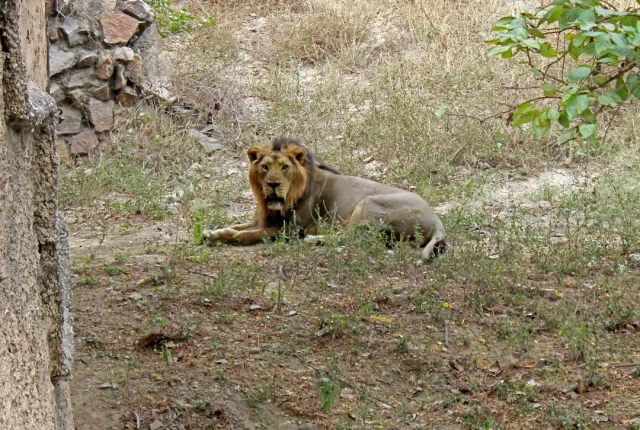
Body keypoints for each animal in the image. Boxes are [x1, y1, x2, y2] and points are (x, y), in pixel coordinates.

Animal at [203, 137, 446, 262]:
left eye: (284, 167)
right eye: (265, 167)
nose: (273, 184)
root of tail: (437, 219)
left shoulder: (290, 229)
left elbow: (251, 234)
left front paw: (227, 238)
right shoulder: (262, 219)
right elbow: (237, 226)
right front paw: (213, 233)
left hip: (368, 204)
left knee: (352, 237)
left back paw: (312, 239)